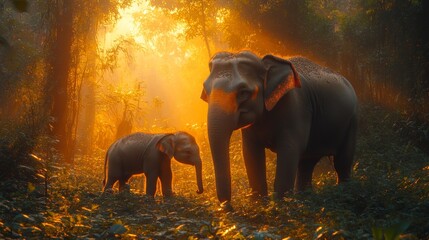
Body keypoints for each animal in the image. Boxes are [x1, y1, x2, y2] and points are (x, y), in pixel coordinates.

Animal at [201, 51, 358, 208]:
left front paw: (280, 207)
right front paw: (260, 206)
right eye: (206, 91)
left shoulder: (296, 107)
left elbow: (290, 150)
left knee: (342, 163)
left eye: (243, 93)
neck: (263, 63)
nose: (228, 206)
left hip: (352, 121)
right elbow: (250, 152)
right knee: (307, 164)